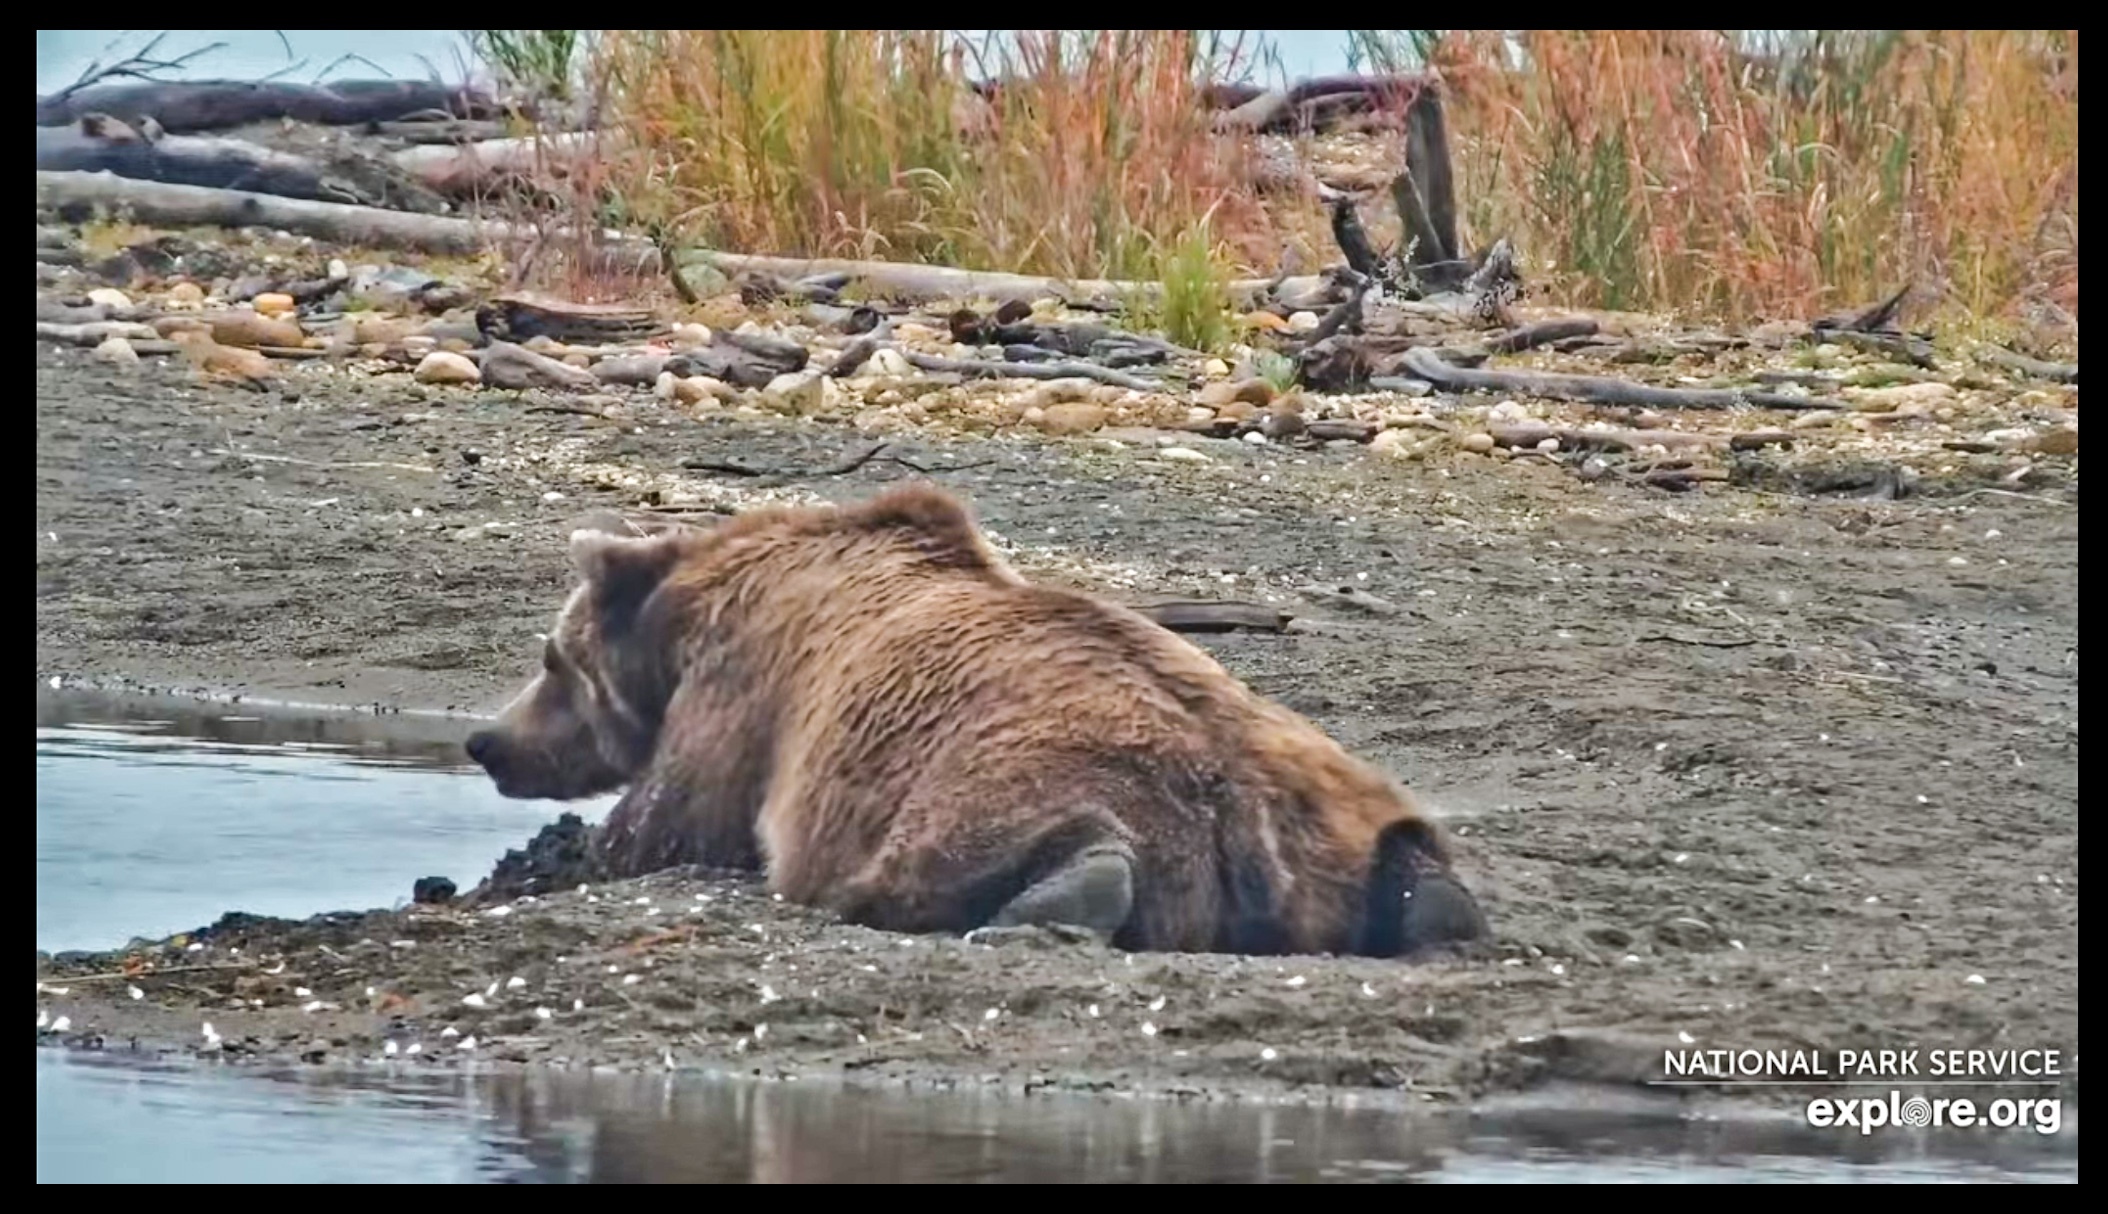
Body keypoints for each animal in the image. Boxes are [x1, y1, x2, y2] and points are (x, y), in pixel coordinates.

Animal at [465, 484, 1484, 956]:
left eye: (551, 659)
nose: (487, 741)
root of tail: (1243, 813)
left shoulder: (741, 703)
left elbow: (666, 827)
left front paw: (541, 859)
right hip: (1331, 800)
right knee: (1413, 852)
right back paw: (1438, 905)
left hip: (1009, 776)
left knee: (974, 847)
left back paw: (1050, 899)